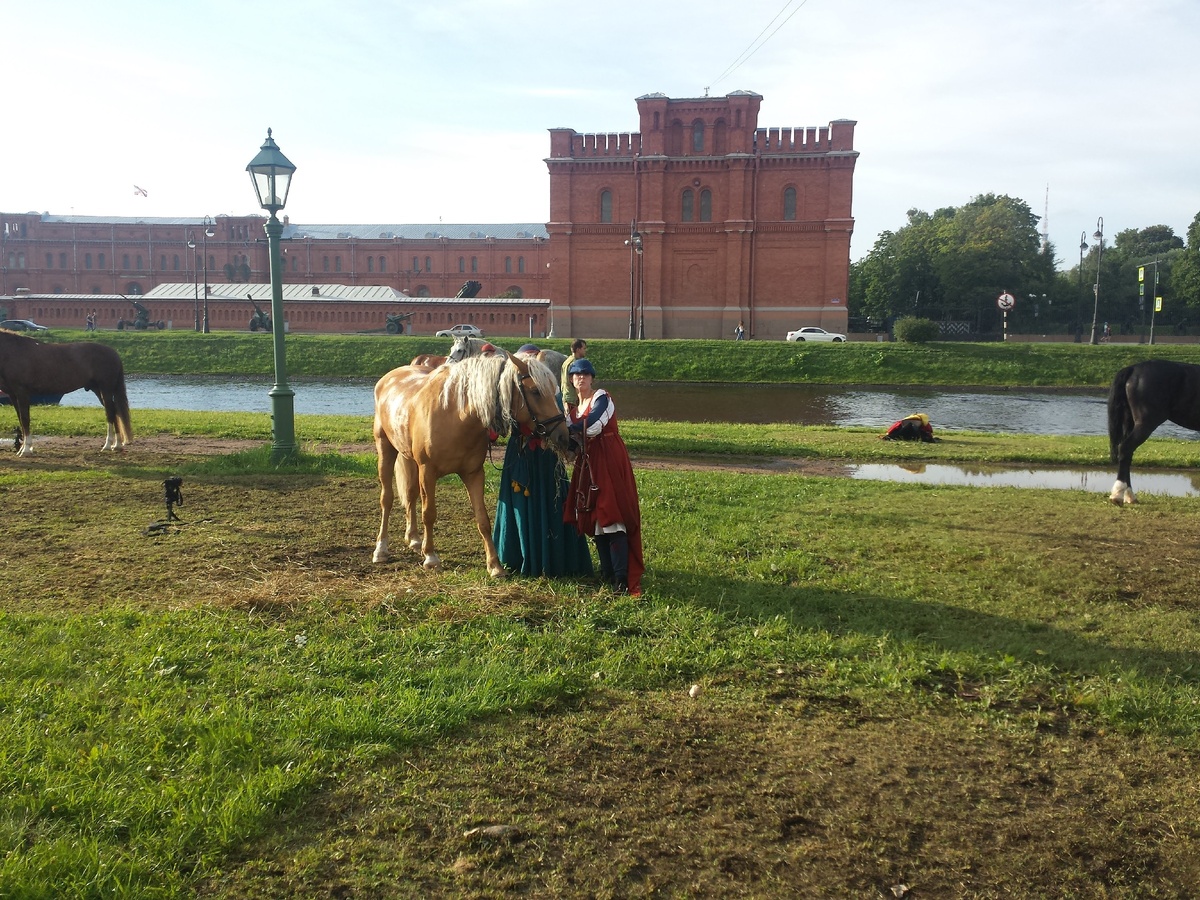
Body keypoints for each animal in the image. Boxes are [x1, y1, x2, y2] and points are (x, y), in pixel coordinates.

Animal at [0, 328, 132, 458]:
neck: (13, 352)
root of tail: (113, 353)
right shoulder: (13, 395)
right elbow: (21, 420)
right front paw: (23, 448)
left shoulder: (22, 392)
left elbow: (25, 419)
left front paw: (26, 449)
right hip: (98, 390)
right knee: (114, 411)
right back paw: (117, 445)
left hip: (106, 389)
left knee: (110, 412)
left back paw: (108, 445)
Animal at [369, 355, 566, 578]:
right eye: (535, 391)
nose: (563, 434)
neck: (455, 414)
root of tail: (388, 377)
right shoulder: (427, 472)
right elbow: (429, 514)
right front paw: (431, 557)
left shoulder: (473, 474)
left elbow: (483, 520)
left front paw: (495, 565)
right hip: (385, 449)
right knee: (387, 499)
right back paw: (381, 549)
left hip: (409, 458)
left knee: (410, 495)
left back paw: (414, 539)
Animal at [1104, 362, 1200, 511]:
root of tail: (1134, 368)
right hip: (1146, 423)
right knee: (1125, 448)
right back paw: (1117, 495)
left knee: (1127, 454)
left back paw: (1130, 496)